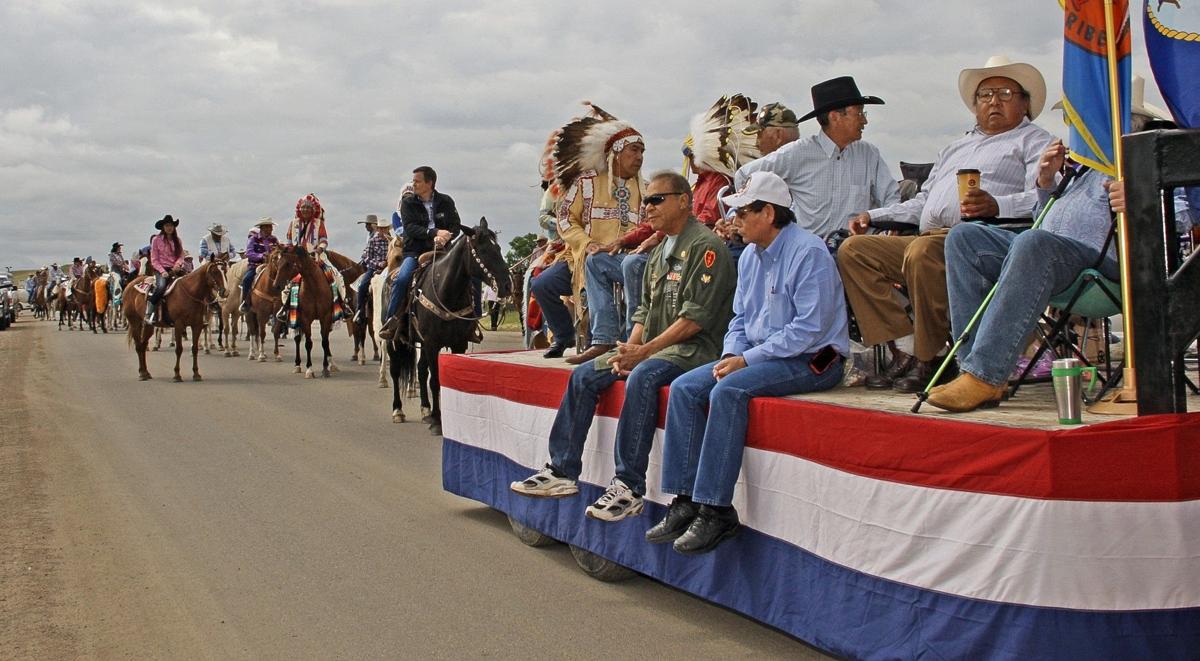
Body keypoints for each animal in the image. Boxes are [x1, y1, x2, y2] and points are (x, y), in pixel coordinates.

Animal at [388, 217, 511, 434]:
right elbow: (435, 381)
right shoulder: (432, 343)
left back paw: (425, 410)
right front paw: (438, 422)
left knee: (421, 370)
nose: (507, 285)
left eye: (498, 248)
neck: (446, 291)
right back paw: (398, 411)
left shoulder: (457, 343)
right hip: (392, 341)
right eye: (484, 250)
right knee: (395, 371)